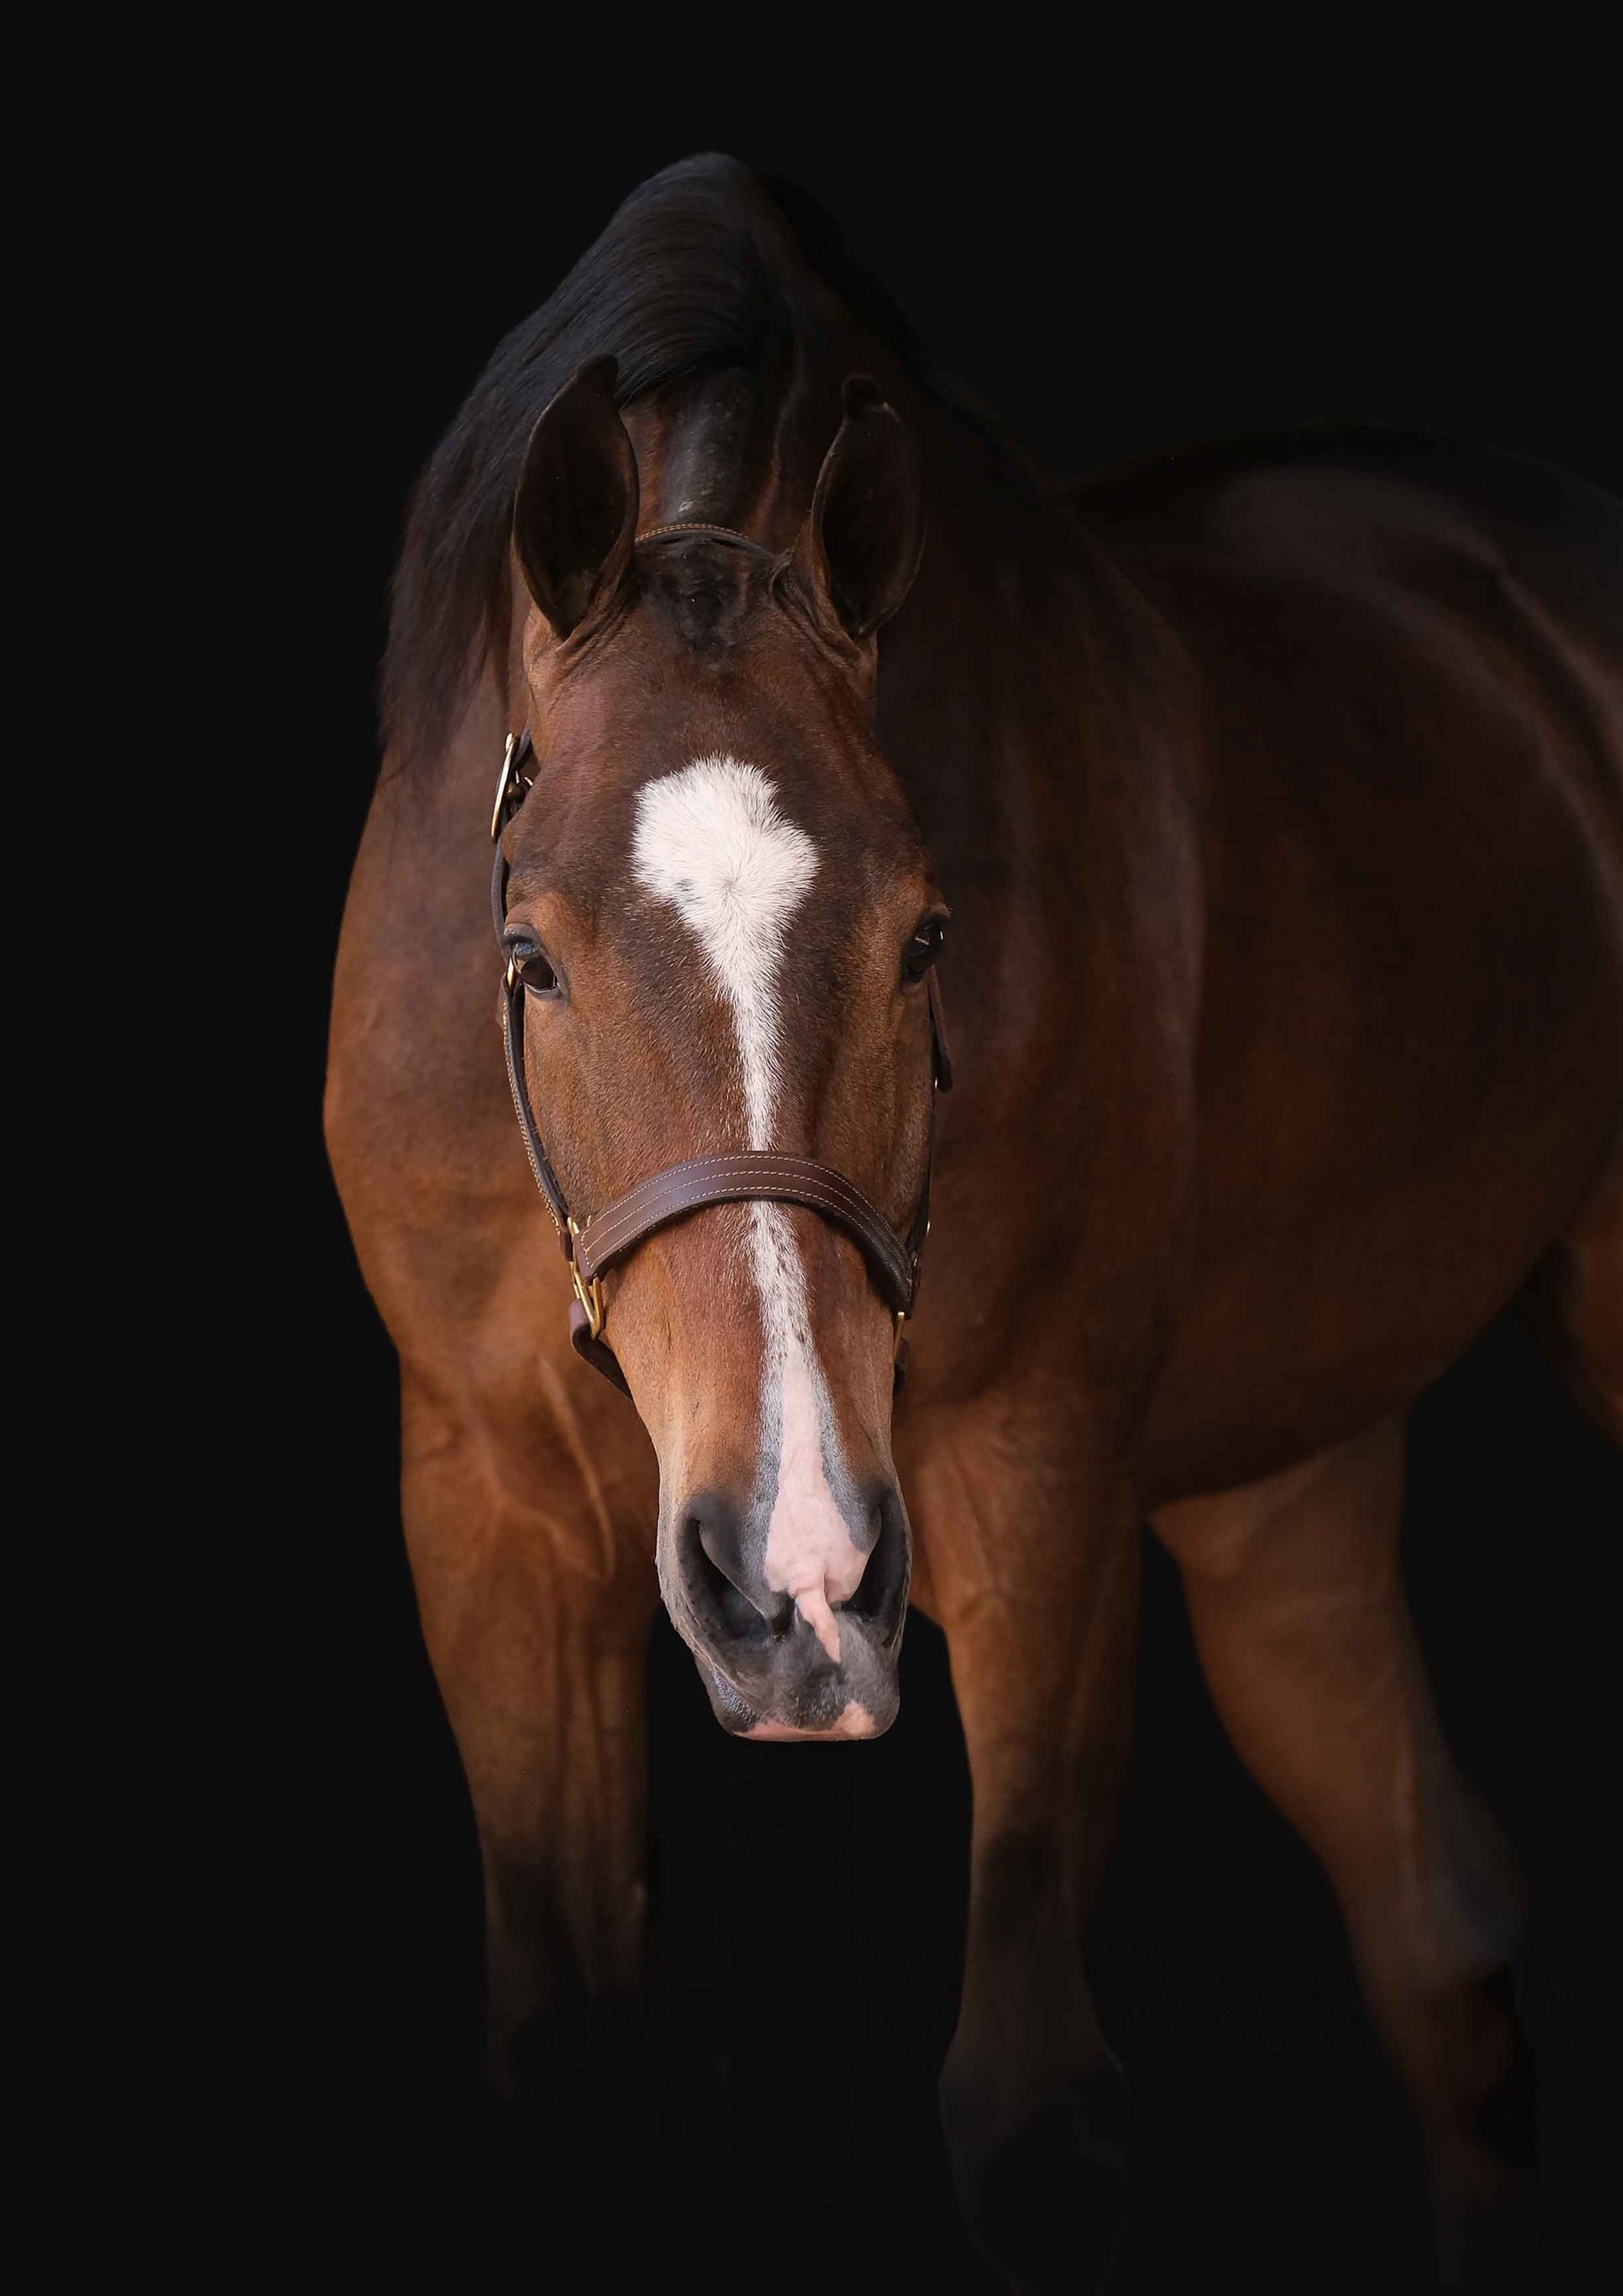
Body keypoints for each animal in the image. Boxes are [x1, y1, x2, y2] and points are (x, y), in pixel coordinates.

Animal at [325, 154, 1622, 2289]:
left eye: (930, 936)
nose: (793, 1576)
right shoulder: (488, 1508)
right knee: (1433, 1918)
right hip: (1282, 1491)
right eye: (526, 954)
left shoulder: (1038, 1497)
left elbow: (1026, 2095)